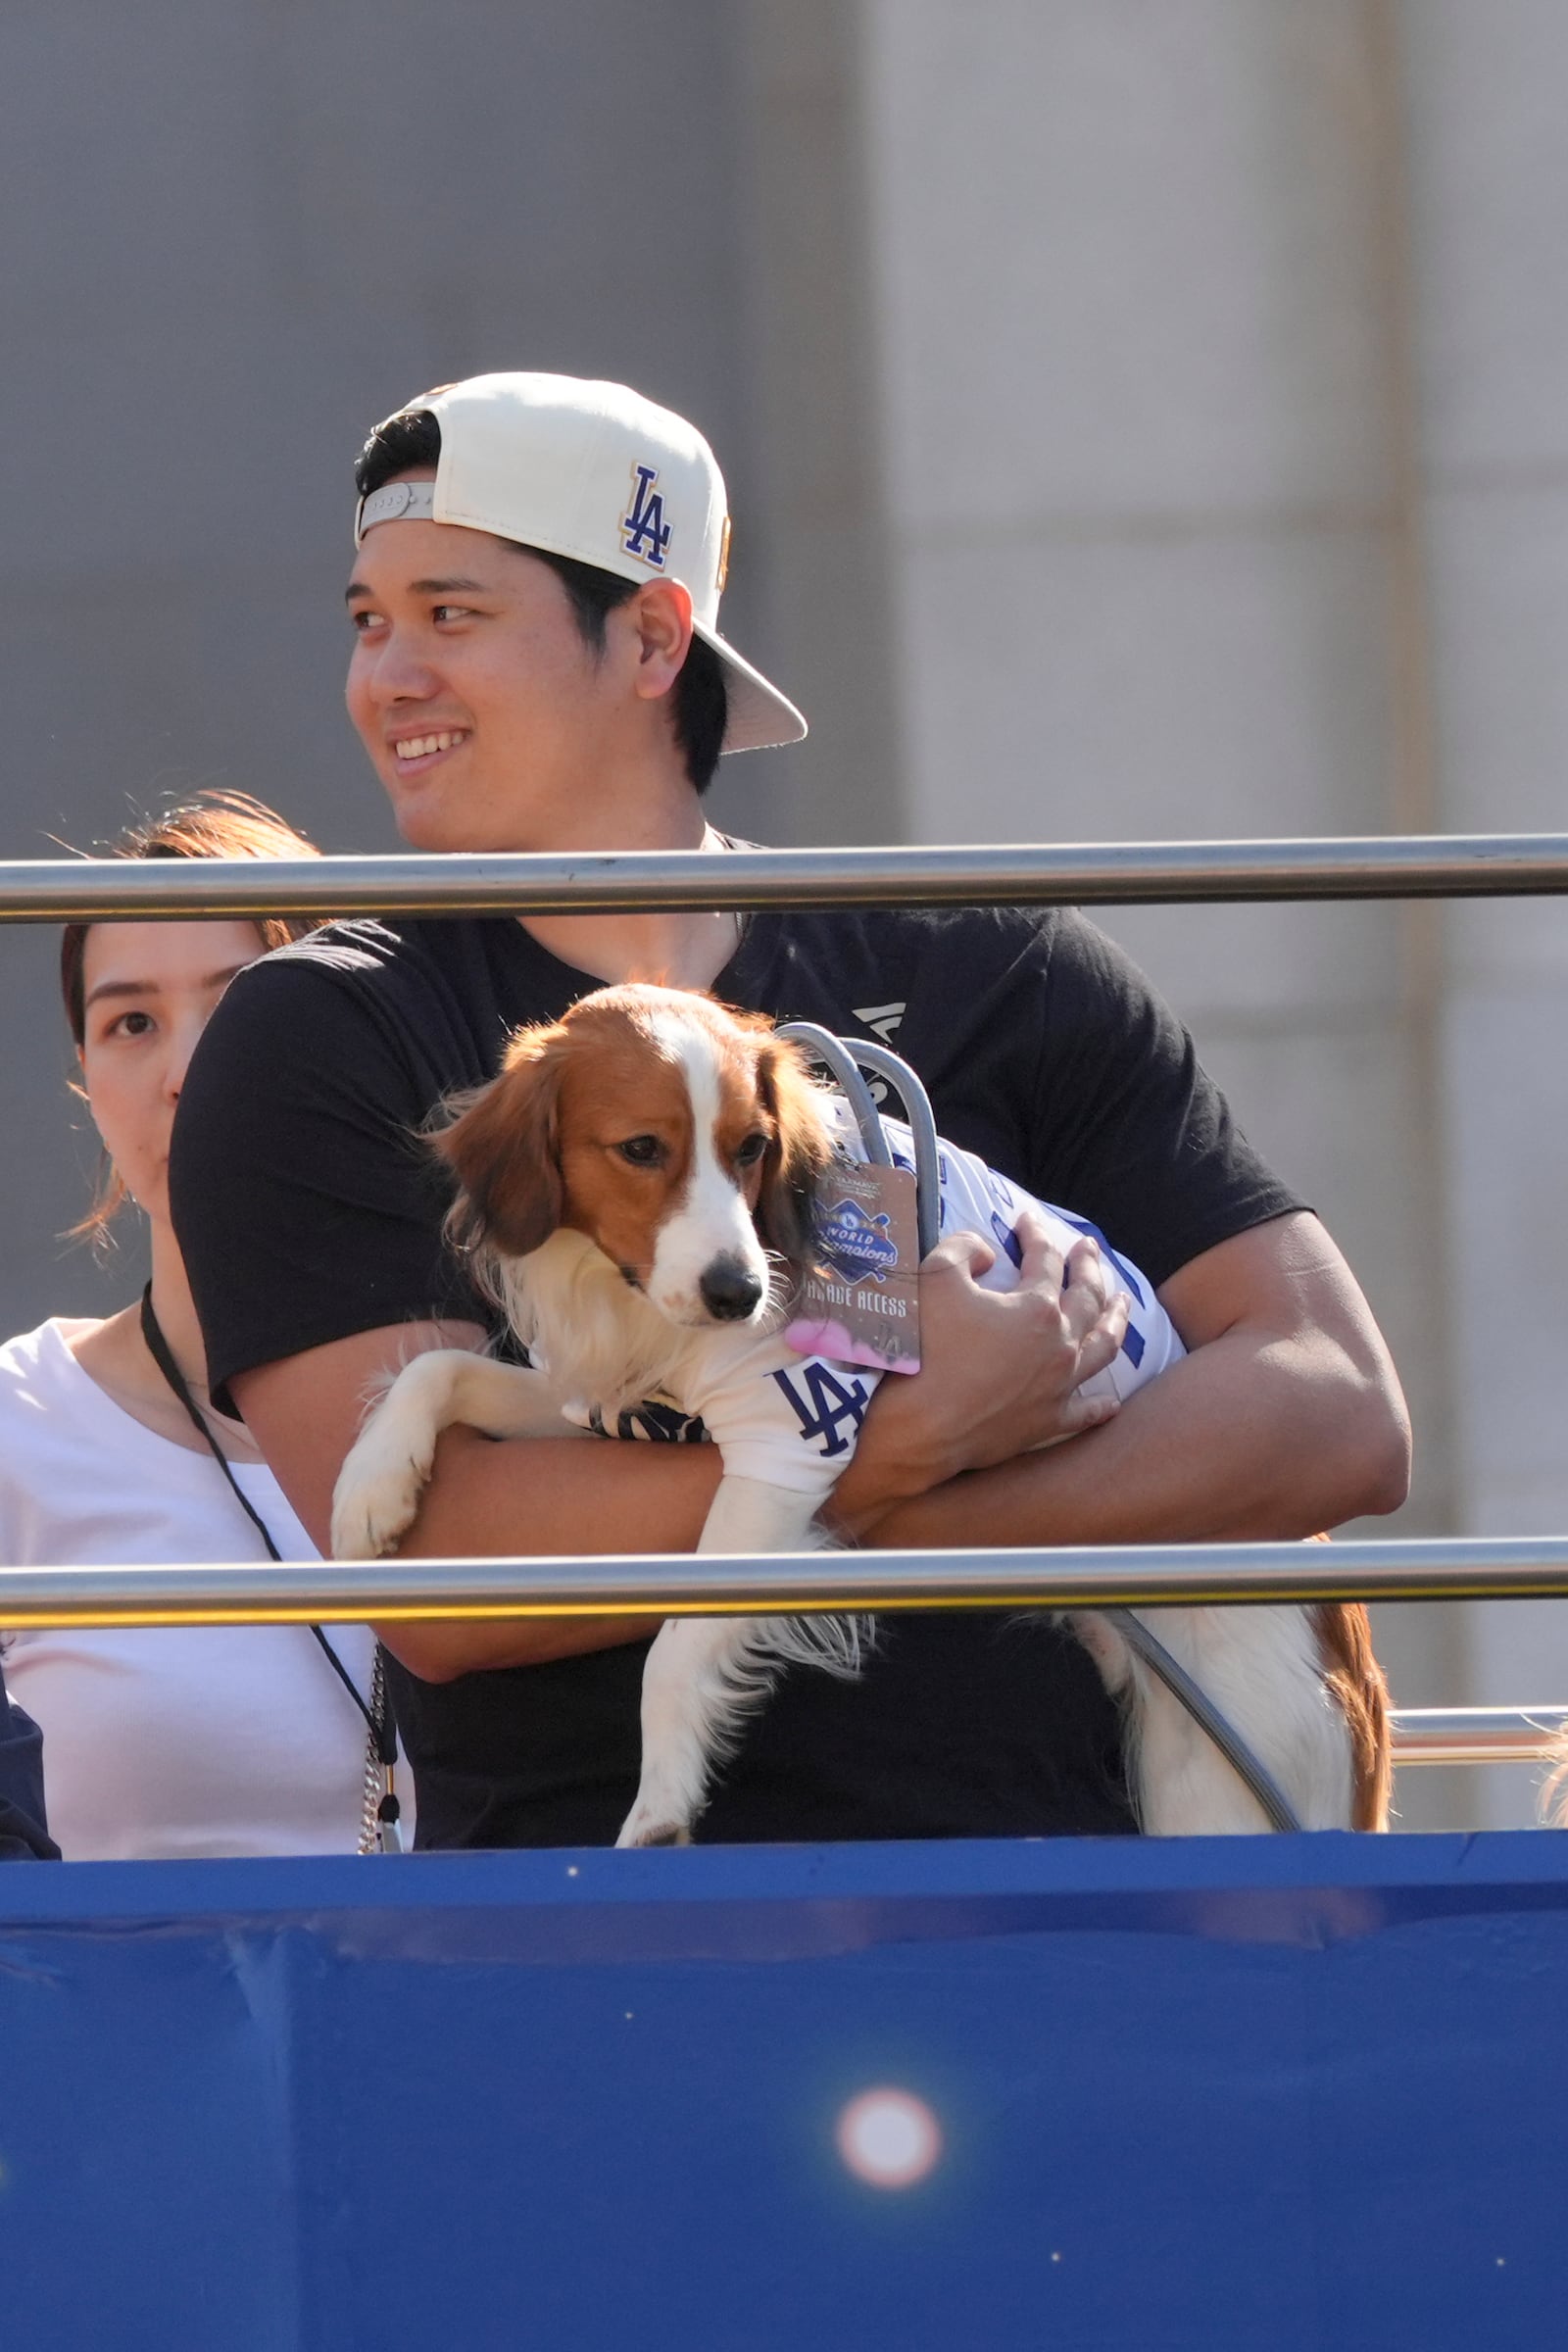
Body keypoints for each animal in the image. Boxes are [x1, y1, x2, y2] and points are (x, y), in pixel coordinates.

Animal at [331, 983, 1382, 1843]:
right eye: (641, 1149)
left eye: (751, 1148)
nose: (739, 1294)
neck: (637, 1310)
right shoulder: (607, 1407)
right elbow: (439, 1367)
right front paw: (371, 1487)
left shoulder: (790, 1443)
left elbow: (674, 1649)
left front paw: (660, 1804)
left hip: (1223, 1781)